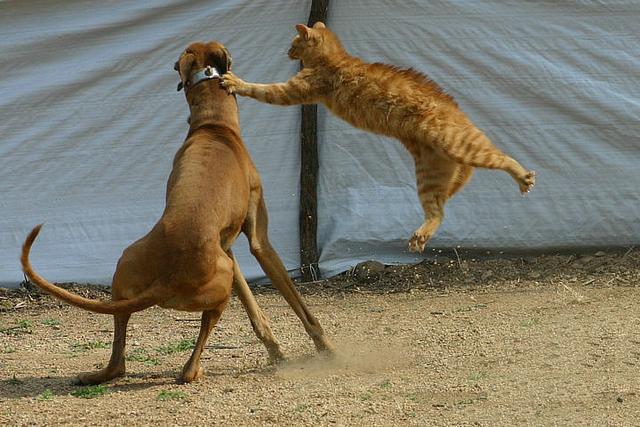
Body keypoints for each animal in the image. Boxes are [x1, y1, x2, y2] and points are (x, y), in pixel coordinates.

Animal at [20, 41, 336, 386]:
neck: (213, 127)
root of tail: (168, 277)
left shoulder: (228, 249)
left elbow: (256, 311)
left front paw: (277, 352)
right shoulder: (259, 243)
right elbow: (298, 304)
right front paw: (325, 347)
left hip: (129, 267)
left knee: (119, 358)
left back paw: (99, 373)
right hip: (219, 285)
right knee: (186, 369)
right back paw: (194, 369)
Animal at [221, 21, 536, 252]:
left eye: (293, 43)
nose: (285, 51)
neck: (333, 58)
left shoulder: (293, 91)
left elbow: (261, 89)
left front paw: (235, 81)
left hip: (463, 148)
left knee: (503, 157)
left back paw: (524, 177)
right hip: (430, 179)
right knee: (438, 213)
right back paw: (419, 237)